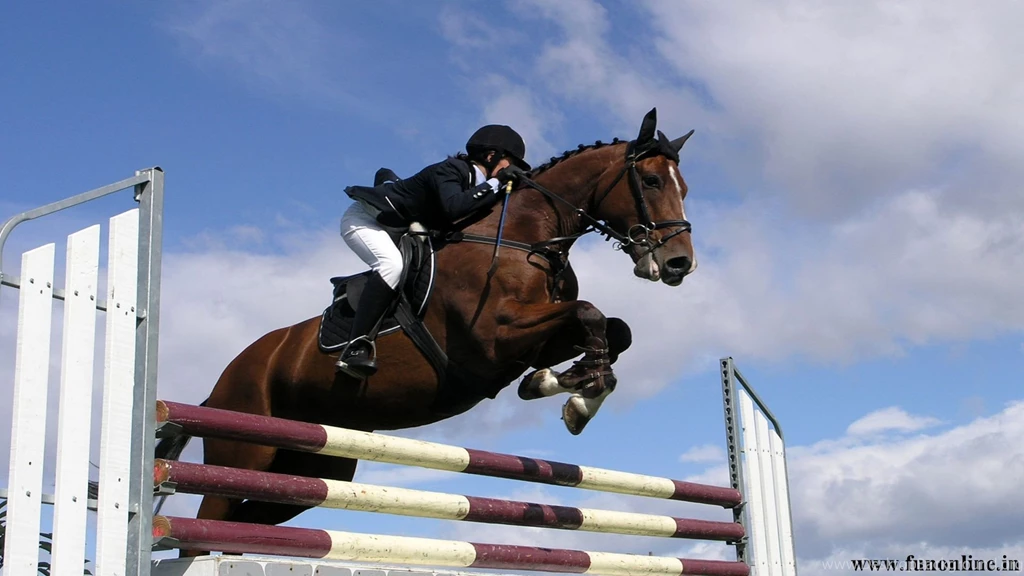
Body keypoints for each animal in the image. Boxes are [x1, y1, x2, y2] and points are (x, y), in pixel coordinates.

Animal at [158, 107, 699, 555]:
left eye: (684, 188)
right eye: (652, 181)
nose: (680, 264)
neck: (527, 237)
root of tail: (220, 385)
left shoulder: (533, 338)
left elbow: (614, 330)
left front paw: (564, 386)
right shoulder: (493, 340)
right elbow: (590, 314)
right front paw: (574, 397)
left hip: (316, 466)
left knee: (252, 516)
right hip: (244, 447)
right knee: (204, 526)